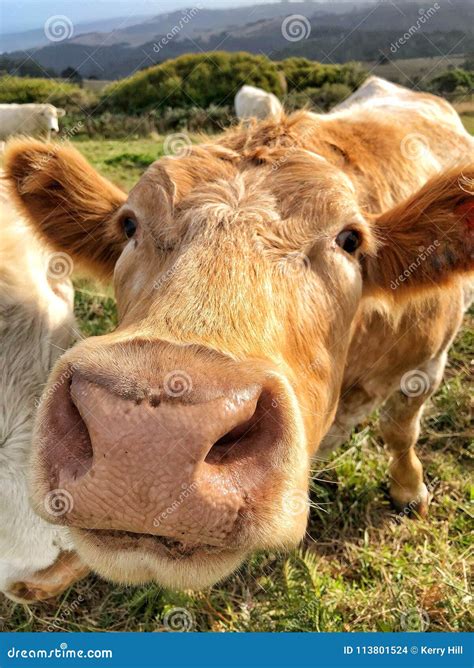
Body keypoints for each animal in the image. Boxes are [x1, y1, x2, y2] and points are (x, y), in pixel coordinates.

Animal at [4, 75, 474, 592]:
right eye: (129, 225)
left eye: (350, 239)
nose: (150, 443)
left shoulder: (428, 360)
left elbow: (400, 429)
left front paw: (408, 492)